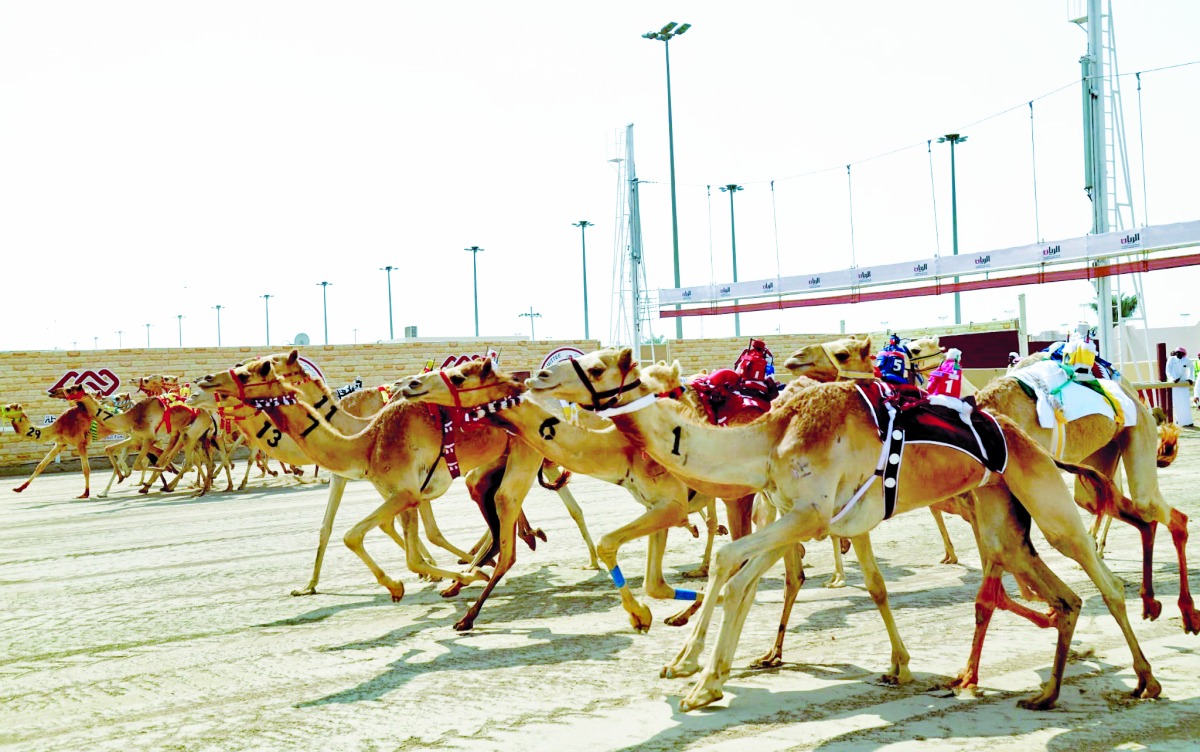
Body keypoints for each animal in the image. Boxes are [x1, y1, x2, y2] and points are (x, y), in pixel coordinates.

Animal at [196, 350, 557, 632]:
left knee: (508, 512)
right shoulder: (401, 492)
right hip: (494, 464)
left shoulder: (406, 492)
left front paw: (440, 578)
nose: (204, 381)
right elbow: (390, 543)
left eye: (249, 370)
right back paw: (502, 553)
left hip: (523, 454)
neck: (365, 442)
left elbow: (364, 536)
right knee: (495, 511)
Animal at [399, 358, 724, 631]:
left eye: (459, 376)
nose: (410, 384)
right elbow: (653, 582)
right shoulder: (658, 504)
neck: (621, 448)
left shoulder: (670, 502)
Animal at [530, 348, 1158, 712]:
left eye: (599, 365)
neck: (769, 438)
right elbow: (741, 573)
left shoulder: (806, 514)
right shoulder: (796, 516)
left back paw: (1145, 678)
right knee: (1062, 595)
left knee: (1102, 578)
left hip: (1043, 494)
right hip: (999, 510)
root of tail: (1017, 430)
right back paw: (1044, 692)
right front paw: (701, 671)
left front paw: (698, 679)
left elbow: (732, 566)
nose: (535, 374)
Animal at [904, 335, 1199, 634]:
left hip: (1136, 430)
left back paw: (1187, 612)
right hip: (1100, 459)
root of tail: (1130, 391)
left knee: (1163, 512)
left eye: (914, 349)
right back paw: (1149, 601)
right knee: (1126, 512)